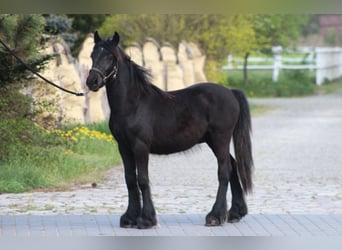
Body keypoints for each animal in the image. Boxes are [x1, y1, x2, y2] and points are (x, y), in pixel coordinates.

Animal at [86, 32, 251, 229]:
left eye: (110, 57)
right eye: (92, 55)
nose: (92, 81)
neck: (133, 104)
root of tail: (231, 93)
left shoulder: (140, 147)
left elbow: (142, 179)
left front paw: (146, 219)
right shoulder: (124, 147)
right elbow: (130, 179)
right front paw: (129, 218)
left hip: (220, 139)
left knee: (224, 171)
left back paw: (215, 216)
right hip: (213, 141)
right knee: (233, 166)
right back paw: (235, 213)